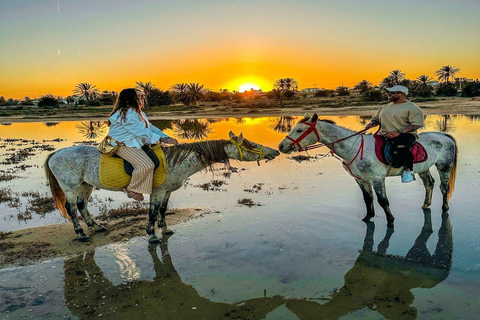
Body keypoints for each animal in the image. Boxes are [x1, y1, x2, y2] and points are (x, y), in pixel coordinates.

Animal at [44, 132, 280, 242]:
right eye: (250, 144)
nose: (275, 151)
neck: (174, 161)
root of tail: (56, 153)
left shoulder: (167, 191)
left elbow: (163, 210)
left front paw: (165, 229)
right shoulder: (157, 192)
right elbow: (152, 212)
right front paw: (151, 234)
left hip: (86, 184)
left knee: (82, 205)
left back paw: (97, 226)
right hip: (71, 186)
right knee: (71, 207)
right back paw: (81, 233)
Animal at [278, 113, 458, 228]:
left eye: (299, 130)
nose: (281, 146)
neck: (354, 148)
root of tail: (445, 136)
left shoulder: (377, 179)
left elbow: (383, 201)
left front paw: (390, 221)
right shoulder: (361, 179)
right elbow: (367, 199)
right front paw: (368, 217)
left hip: (444, 166)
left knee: (444, 187)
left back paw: (445, 208)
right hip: (423, 167)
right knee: (429, 184)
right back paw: (426, 204)